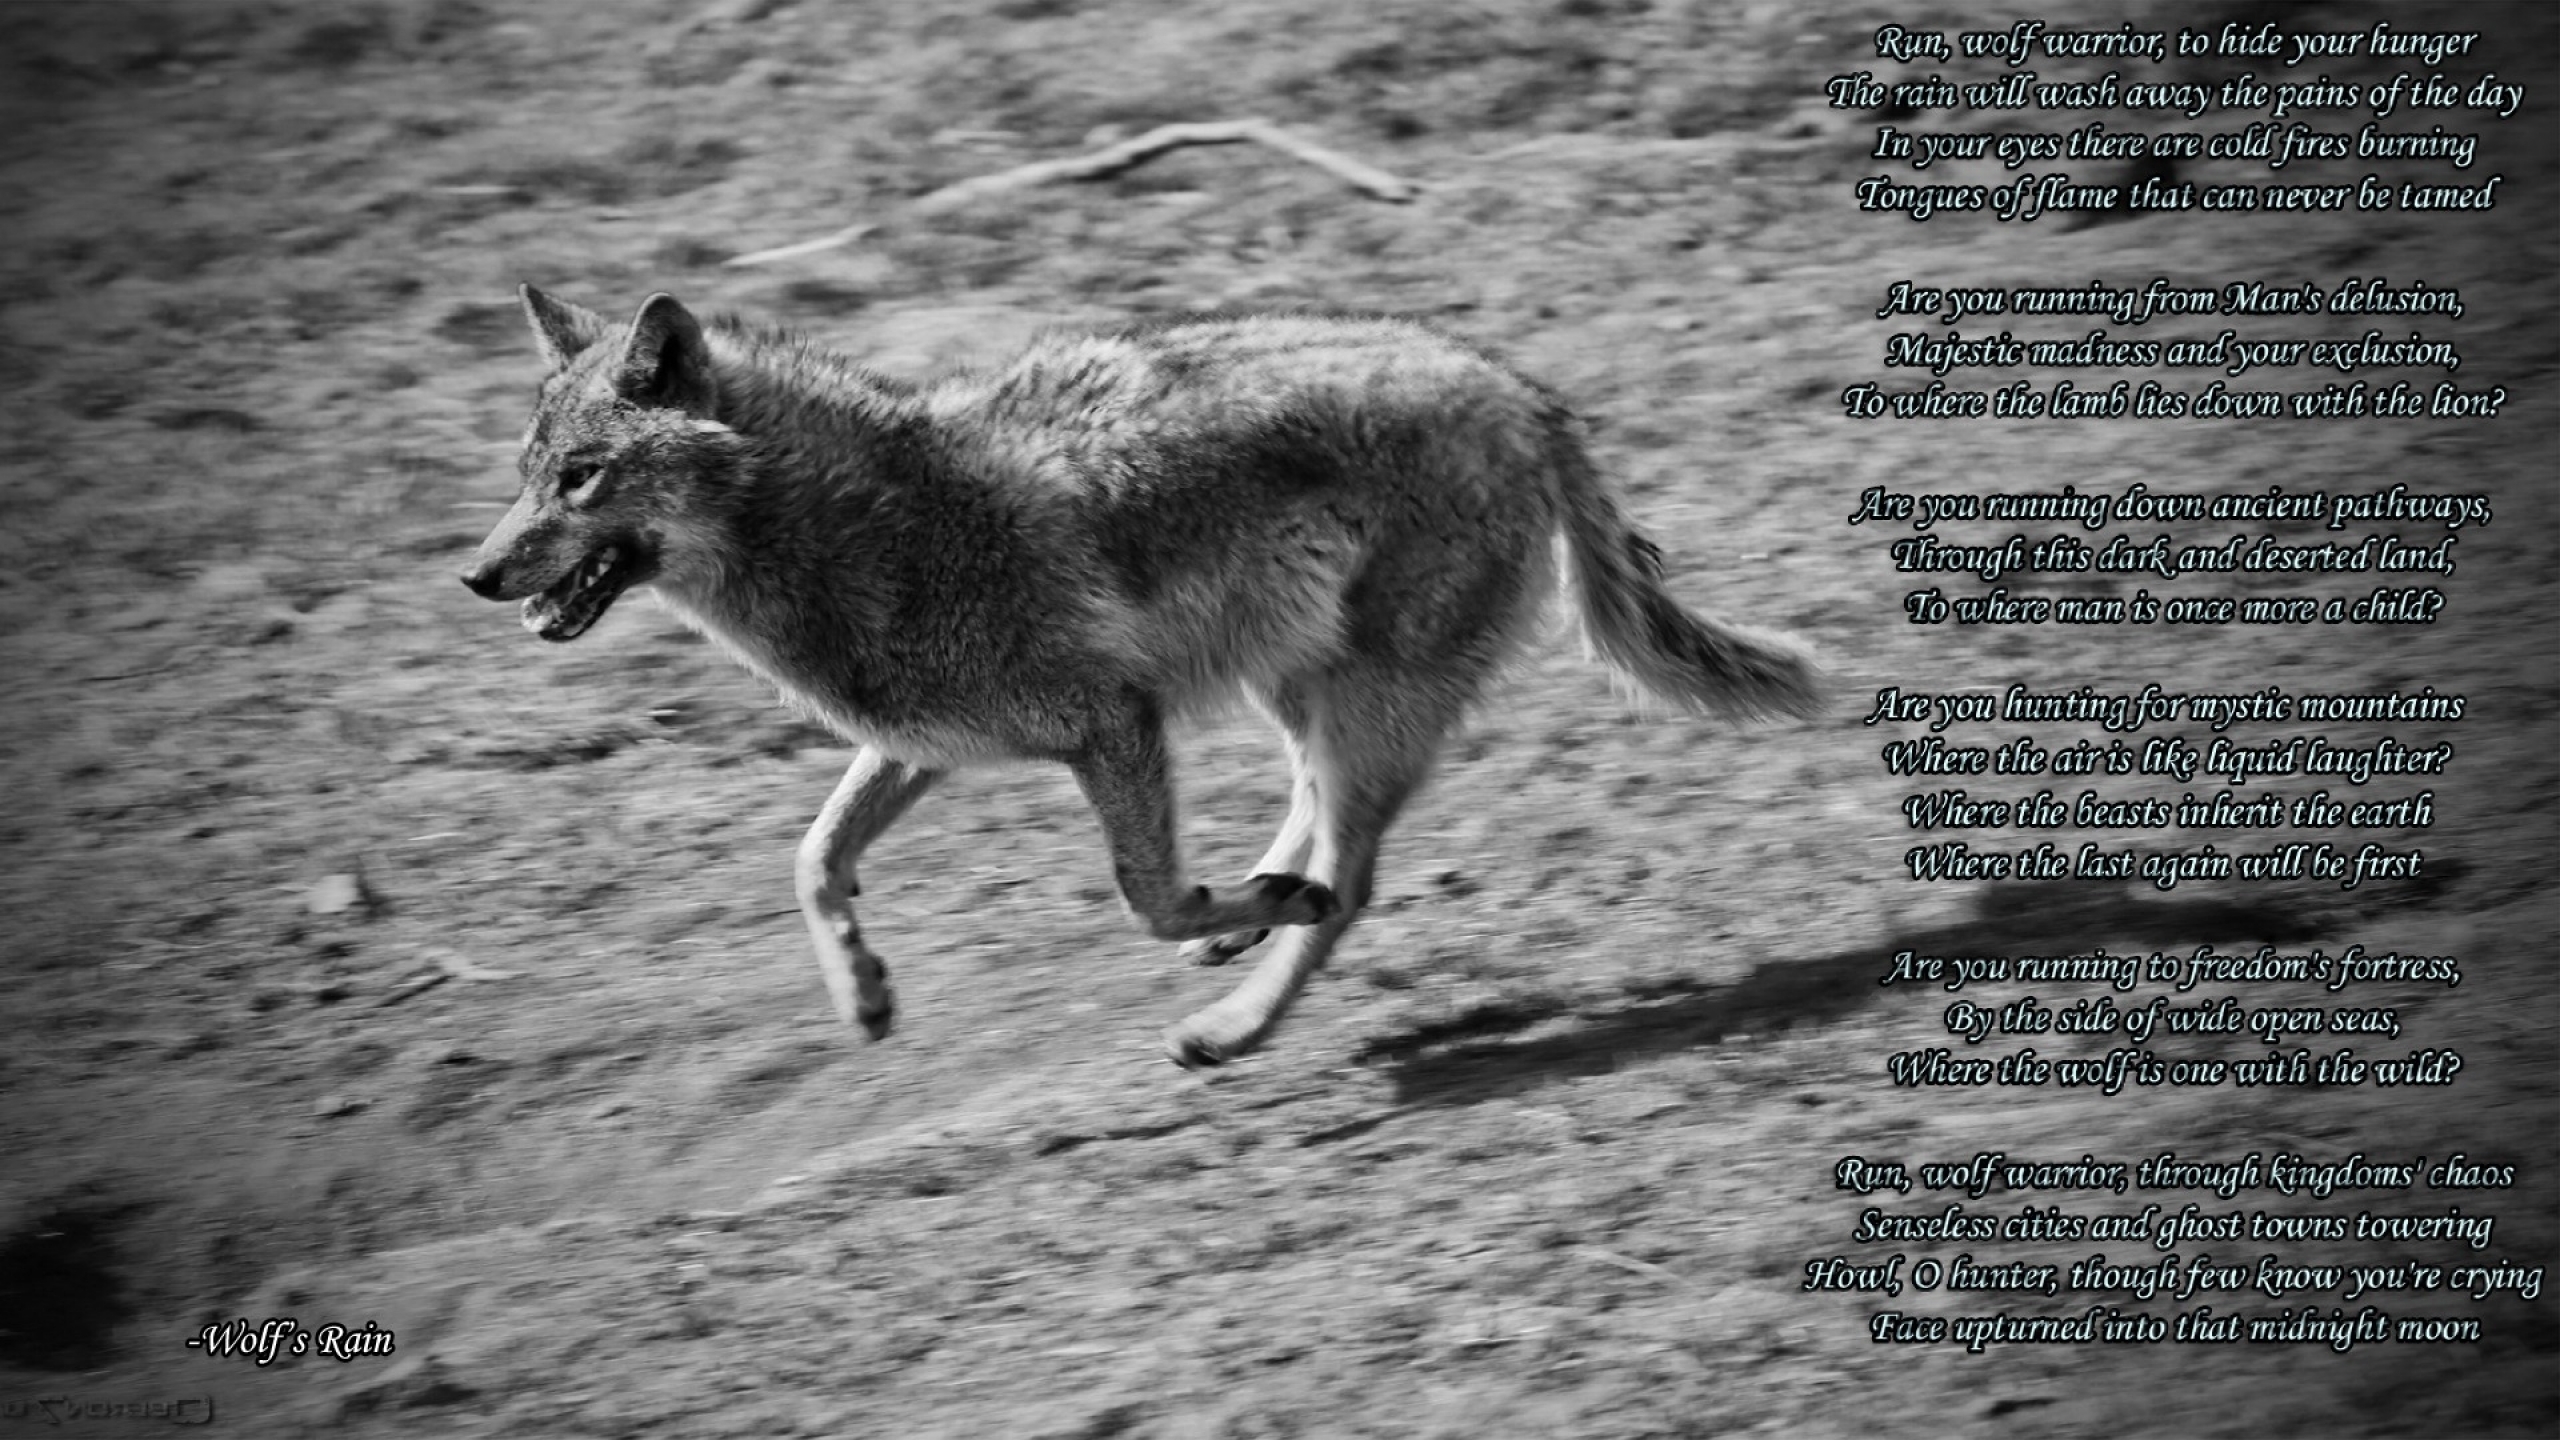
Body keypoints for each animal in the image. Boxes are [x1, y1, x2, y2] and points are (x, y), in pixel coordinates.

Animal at [463, 288, 1821, 1066]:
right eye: (527, 475)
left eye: (581, 478)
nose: (474, 575)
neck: (869, 525)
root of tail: (1526, 393)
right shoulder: (921, 745)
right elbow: (810, 860)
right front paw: (863, 999)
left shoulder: (1112, 721)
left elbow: (1147, 897)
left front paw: (1235, 922)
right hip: (1298, 685)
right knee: (1318, 820)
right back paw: (1261, 912)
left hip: (1357, 703)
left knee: (1354, 878)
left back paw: (1235, 1017)